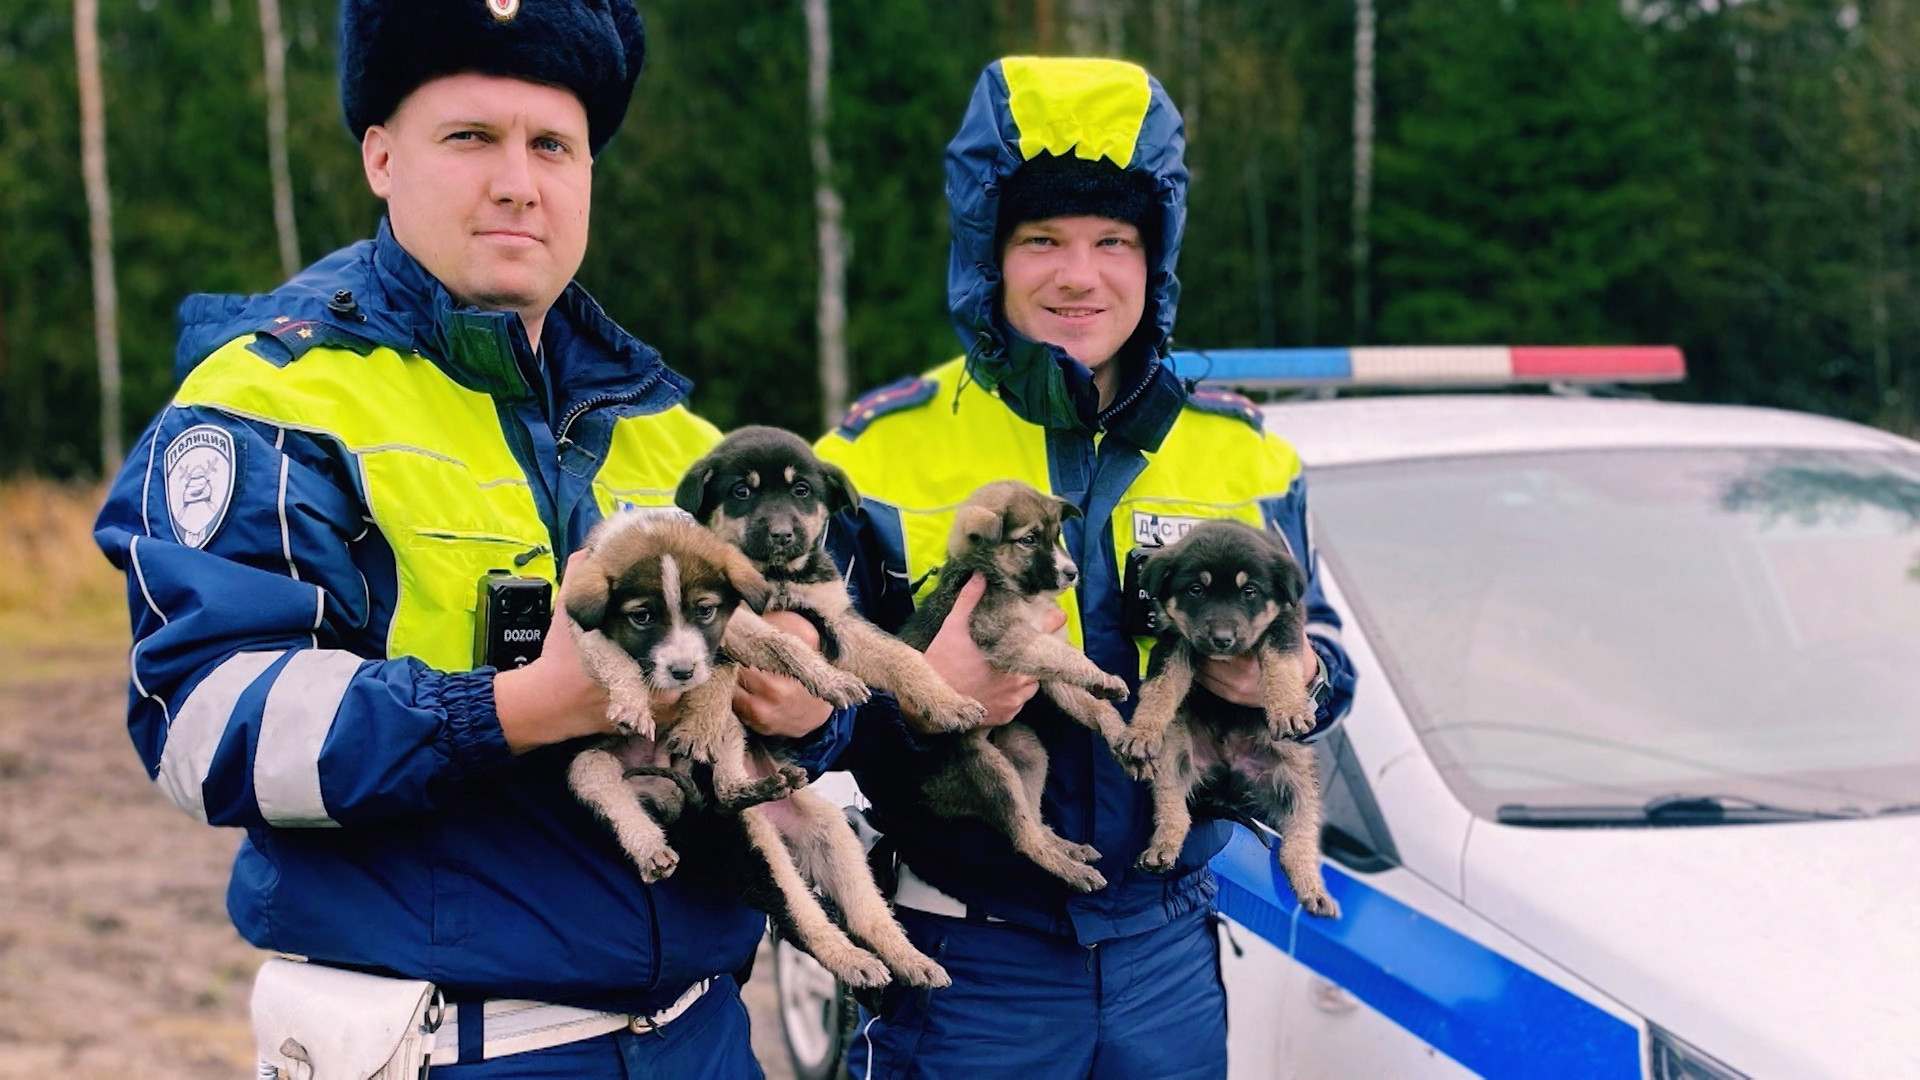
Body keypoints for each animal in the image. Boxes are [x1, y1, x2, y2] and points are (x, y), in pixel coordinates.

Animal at [668, 420, 983, 764]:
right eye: (741, 491)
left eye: (801, 490)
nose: (781, 535)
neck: (776, 576)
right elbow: (727, 667)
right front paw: (700, 729)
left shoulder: (837, 618)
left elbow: (901, 654)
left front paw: (949, 703)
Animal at [894, 478, 1128, 891]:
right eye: (1029, 540)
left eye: (1057, 535)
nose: (1071, 573)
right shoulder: (1010, 639)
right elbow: (1070, 660)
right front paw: (1102, 677)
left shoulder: (1046, 668)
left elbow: (1085, 696)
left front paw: (1113, 723)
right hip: (990, 770)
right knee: (1024, 837)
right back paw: (1070, 869)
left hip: (1026, 750)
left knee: (1034, 820)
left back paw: (1067, 848)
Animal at [1121, 518, 1344, 910]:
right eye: (1196, 590)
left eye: (1250, 591)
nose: (1222, 639)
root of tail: (1227, 783)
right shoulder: (1175, 640)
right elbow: (1161, 686)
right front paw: (1142, 731)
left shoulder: (1284, 623)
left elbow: (1279, 662)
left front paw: (1288, 708)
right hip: (1174, 755)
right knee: (1173, 808)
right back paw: (1161, 848)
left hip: (1298, 778)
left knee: (1298, 841)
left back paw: (1312, 889)